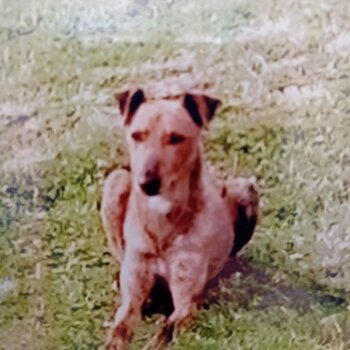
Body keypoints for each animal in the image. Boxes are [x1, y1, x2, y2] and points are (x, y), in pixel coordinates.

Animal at [100, 88, 258, 350]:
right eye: (137, 136)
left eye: (176, 138)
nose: (146, 183)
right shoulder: (133, 294)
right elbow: (119, 328)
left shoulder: (185, 302)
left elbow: (167, 330)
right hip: (116, 182)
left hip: (244, 190)